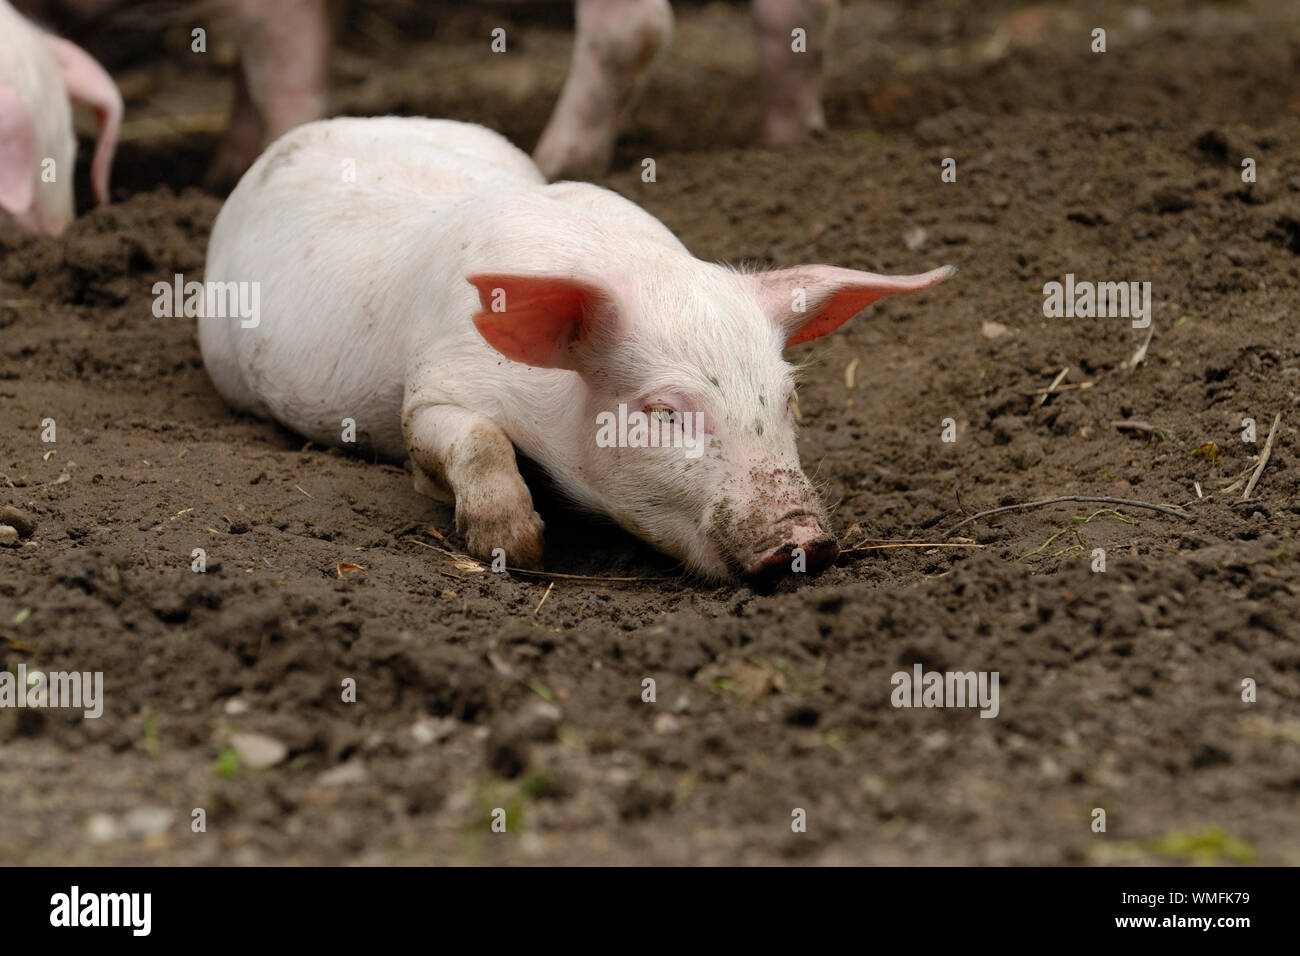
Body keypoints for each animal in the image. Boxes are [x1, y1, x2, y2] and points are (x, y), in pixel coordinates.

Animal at [202, 119, 956, 582]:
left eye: (790, 397)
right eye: (664, 412)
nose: (802, 540)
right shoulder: (430, 388)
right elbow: (469, 438)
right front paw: (519, 550)